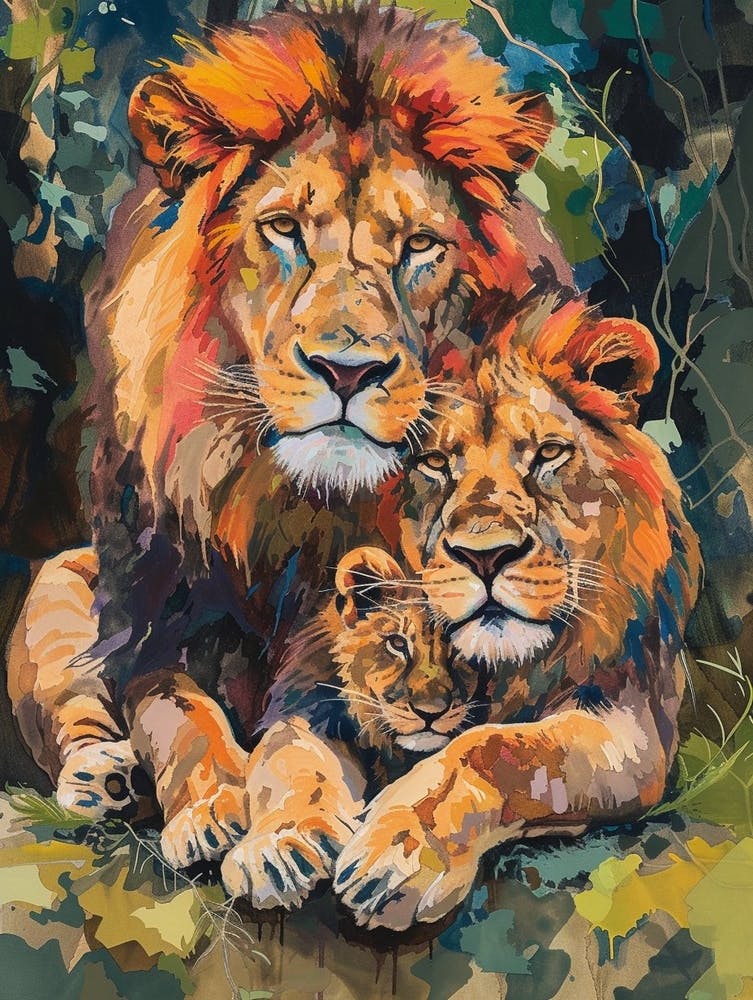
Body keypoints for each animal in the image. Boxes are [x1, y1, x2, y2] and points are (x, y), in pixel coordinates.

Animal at [8, 2, 564, 863]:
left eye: (419, 245)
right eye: (283, 229)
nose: (347, 370)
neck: (304, 505)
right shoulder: (157, 620)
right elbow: (175, 712)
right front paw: (212, 806)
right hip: (56, 583)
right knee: (77, 710)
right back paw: (106, 778)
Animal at [330, 295, 702, 931]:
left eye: (548, 453)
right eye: (435, 462)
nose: (486, 555)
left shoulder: (638, 727)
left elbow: (501, 748)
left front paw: (402, 851)